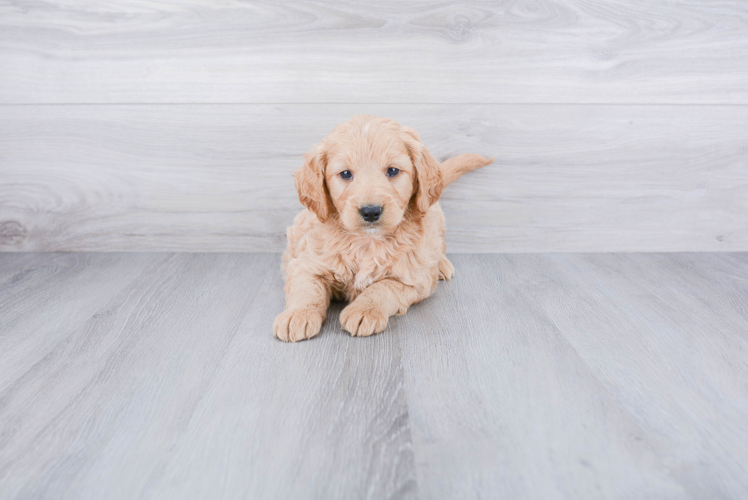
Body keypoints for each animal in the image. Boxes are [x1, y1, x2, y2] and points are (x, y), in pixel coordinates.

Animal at [274, 116, 490, 344]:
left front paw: (363, 310)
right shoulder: (307, 265)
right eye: (345, 174)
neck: (366, 242)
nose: (370, 211)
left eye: (393, 171)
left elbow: (383, 287)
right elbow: (307, 289)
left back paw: (441, 265)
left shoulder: (413, 280)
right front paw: (297, 315)